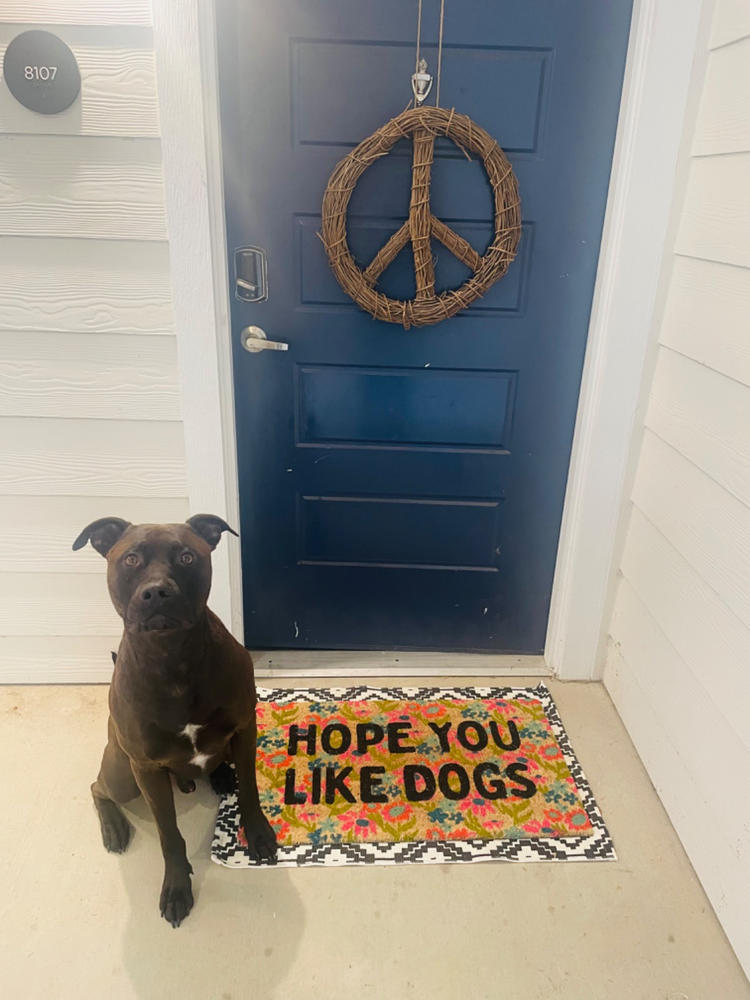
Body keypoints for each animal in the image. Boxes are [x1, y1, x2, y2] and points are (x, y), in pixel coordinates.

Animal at [74, 516, 280, 928]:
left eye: (186, 556)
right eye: (131, 559)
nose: (157, 592)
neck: (172, 660)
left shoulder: (245, 729)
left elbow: (250, 790)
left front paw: (258, 834)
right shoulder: (146, 767)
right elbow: (168, 834)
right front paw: (176, 887)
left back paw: (221, 777)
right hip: (124, 776)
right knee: (97, 787)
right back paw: (114, 828)